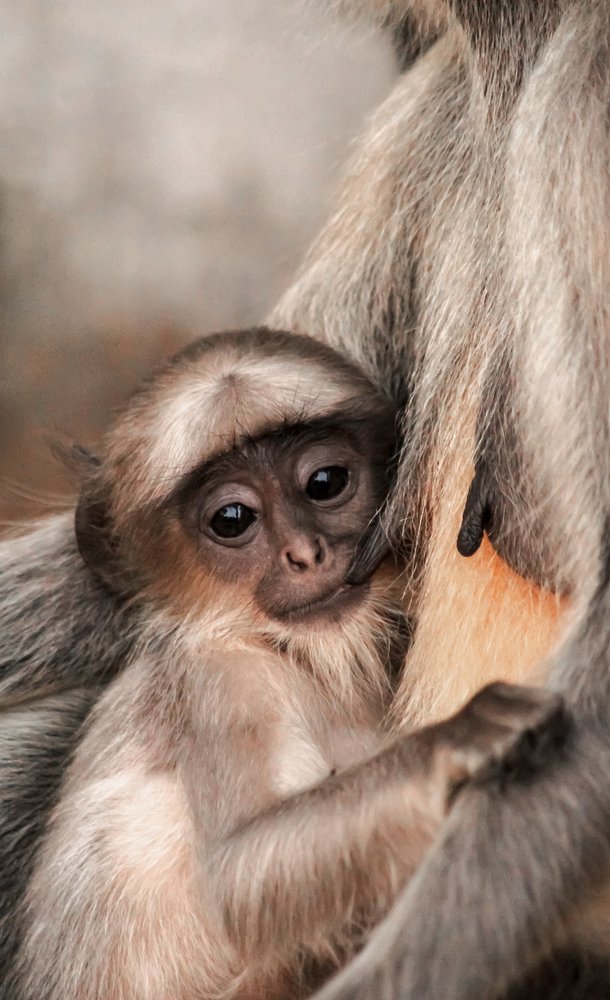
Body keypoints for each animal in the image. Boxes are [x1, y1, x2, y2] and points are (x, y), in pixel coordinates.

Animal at [0, 327, 567, 1000]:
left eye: (324, 483)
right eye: (232, 519)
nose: (304, 553)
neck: (299, 657)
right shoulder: (223, 681)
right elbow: (239, 876)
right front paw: (459, 736)